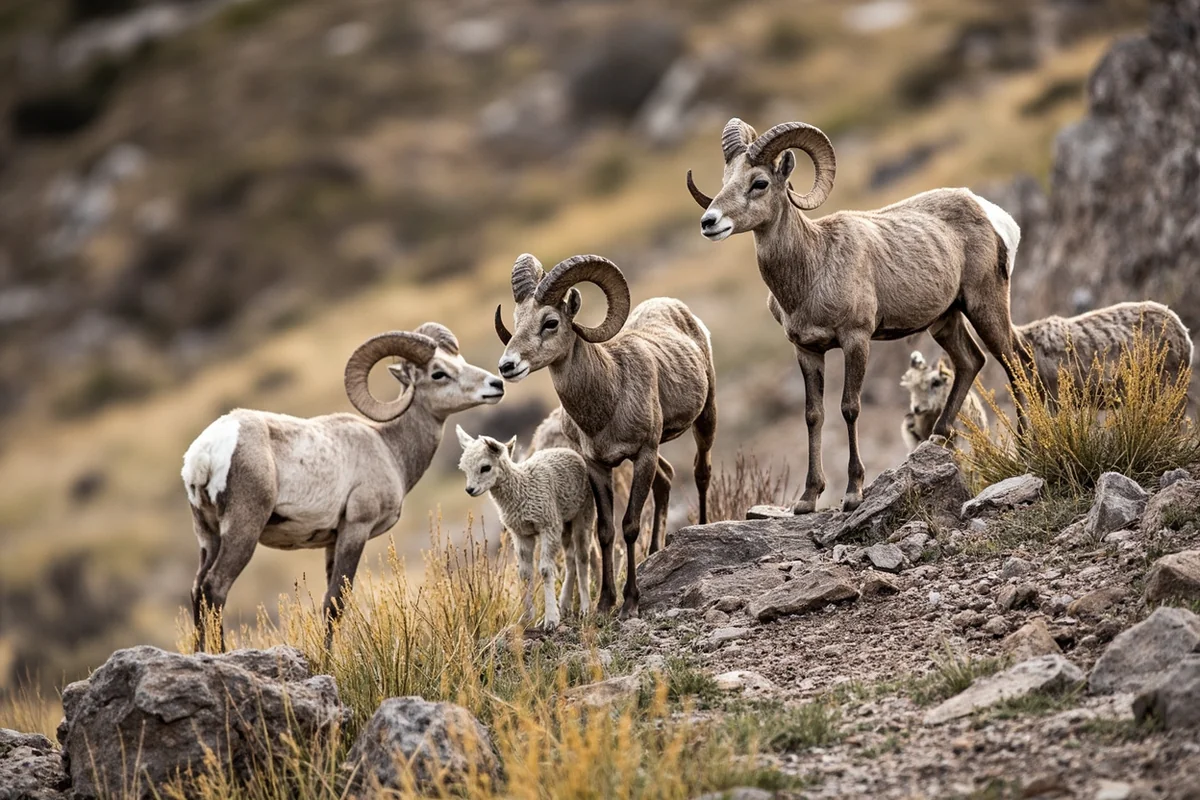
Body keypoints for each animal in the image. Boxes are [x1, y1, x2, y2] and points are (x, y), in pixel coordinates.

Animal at [181, 323, 505, 651]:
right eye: (438, 373)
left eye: (459, 360)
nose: (496, 384)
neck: (388, 446)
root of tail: (205, 452)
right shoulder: (355, 529)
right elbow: (335, 603)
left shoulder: (331, 542)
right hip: (243, 529)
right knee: (216, 586)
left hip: (208, 535)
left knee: (198, 590)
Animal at [456, 426, 595, 629]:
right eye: (464, 469)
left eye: (485, 467)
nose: (470, 490)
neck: (522, 488)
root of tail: (570, 452)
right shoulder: (521, 533)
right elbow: (524, 574)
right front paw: (527, 618)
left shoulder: (547, 526)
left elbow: (545, 570)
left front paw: (550, 619)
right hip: (563, 521)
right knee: (570, 558)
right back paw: (565, 604)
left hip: (583, 513)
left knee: (582, 557)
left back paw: (585, 608)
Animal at [494, 253, 717, 618]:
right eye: (517, 319)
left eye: (550, 322)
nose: (507, 366)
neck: (608, 396)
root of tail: (676, 308)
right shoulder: (598, 466)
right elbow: (606, 531)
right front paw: (604, 603)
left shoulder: (642, 455)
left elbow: (629, 525)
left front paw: (630, 603)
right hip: (659, 452)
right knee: (666, 479)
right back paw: (653, 553)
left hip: (705, 419)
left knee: (702, 472)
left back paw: (703, 525)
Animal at [687, 118, 1022, 513]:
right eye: (726, 179)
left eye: (760, 183)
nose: (709, 222)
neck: (813, 268)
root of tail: (991, 212)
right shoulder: (807, 351)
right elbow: (813, 415)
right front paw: (807, 499)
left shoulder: (856, 340)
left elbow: (849, 408)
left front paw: (852, 493)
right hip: (946, 320)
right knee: (971, 361)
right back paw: (935, 440)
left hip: (985, 304)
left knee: (1015, 361)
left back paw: (1026, 442)